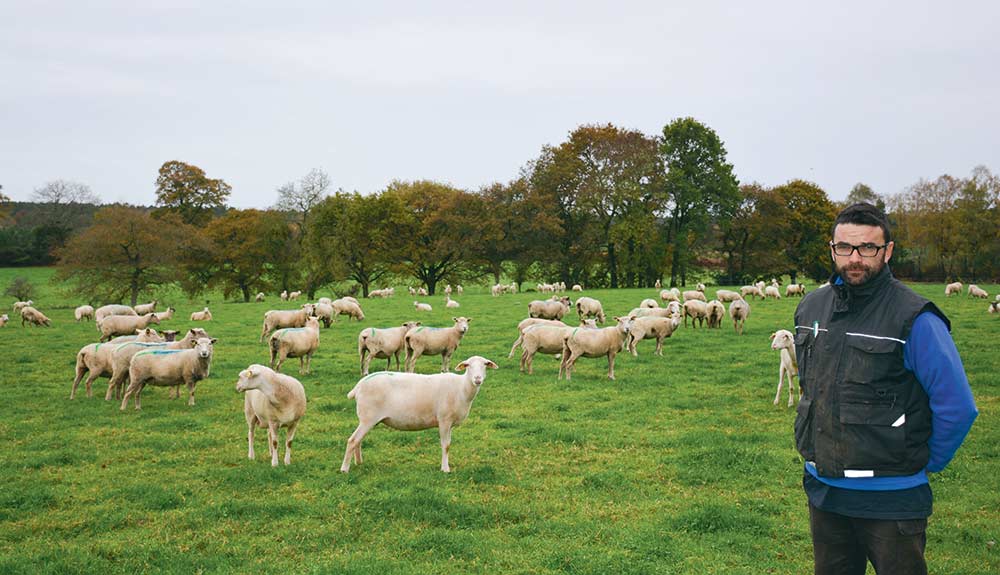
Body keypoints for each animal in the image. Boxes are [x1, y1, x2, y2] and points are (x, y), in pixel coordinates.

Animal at [342, 354, 498, 474]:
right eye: (468, 365)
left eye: (485, 365)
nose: (477, 379)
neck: (461, 388)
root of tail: (359, 386)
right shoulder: (444, 420)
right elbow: (446, 445)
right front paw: (445, 469)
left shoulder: (450, 423)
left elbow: (448, 444)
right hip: (368, 418)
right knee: (352, 440)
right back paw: (344, 469)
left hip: (367, 419)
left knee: (358, 440)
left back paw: (359, 462)